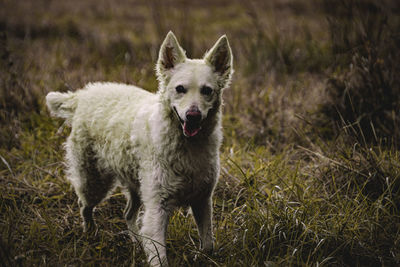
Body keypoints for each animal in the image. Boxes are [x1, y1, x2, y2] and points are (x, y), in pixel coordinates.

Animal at [46, 31, 234, 266]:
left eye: (207, 91)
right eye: (180, 89)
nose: (193, 116)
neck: (186, 145)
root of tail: (82, 96)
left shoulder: (202, 200)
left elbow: (208, 244)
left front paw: (202, 257)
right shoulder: (157, 207)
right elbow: (159, 256)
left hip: (136, 185)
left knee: (127, 214)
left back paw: (135, 242)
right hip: (95, 183)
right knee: (84, 205)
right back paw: (90, 234)